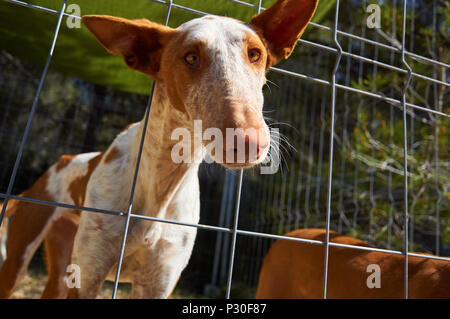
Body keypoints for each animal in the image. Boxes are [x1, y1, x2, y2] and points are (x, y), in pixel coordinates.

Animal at [0, 0, 318, 300]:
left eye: (255, 54)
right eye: (191, 57)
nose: (248, 141)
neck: (163, 178)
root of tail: (60, 163)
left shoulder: (158, 284)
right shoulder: (88, 279)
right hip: (21, 261)